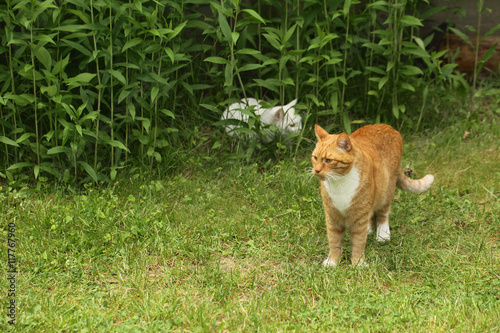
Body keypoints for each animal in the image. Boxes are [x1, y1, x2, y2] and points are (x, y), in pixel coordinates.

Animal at [312, 123, 434, 266]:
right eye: (315, 158)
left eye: (329, 160)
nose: (316, 170)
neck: (339, 183)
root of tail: (386, 125)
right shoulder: (332, 217)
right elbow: (334, 242)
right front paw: (332, 262)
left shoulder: (359, 218)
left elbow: (358, 243)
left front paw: (358, 264)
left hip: (386, 191)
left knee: (383, 213)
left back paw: (383, 234)